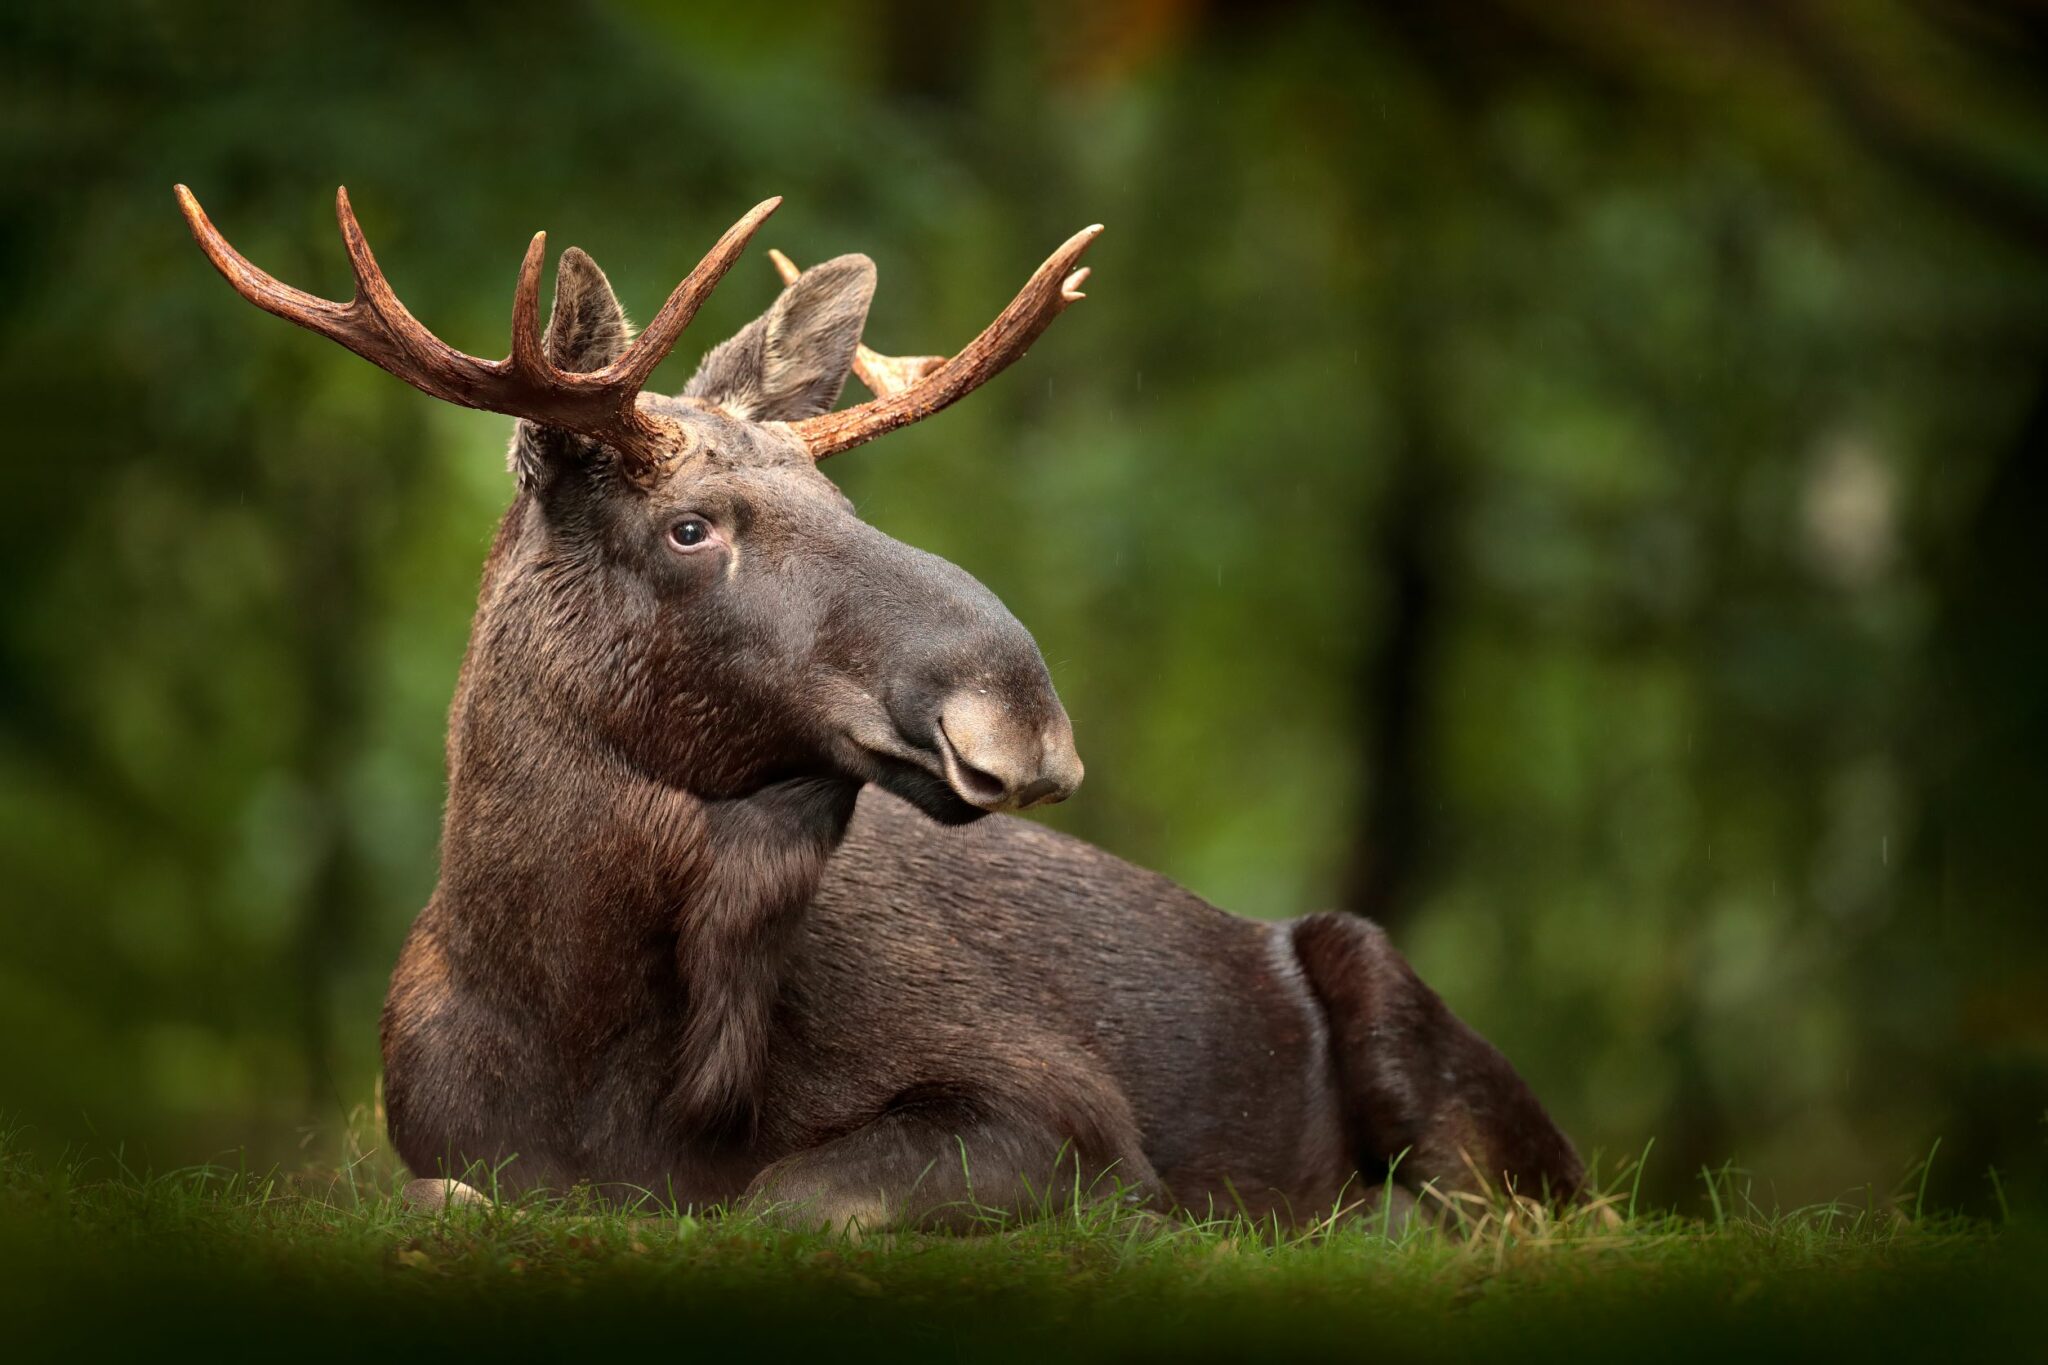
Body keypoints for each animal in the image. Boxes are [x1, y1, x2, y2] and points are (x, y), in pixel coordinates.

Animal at [180, 187, 1581, 1236]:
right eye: (690, 527)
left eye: (845, 506)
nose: (1021, 714)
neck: (586, 1036)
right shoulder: (423, 1146)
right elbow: (447, 1196)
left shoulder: (1061, 1105)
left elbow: (788, 1197)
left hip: (1414, 1024)